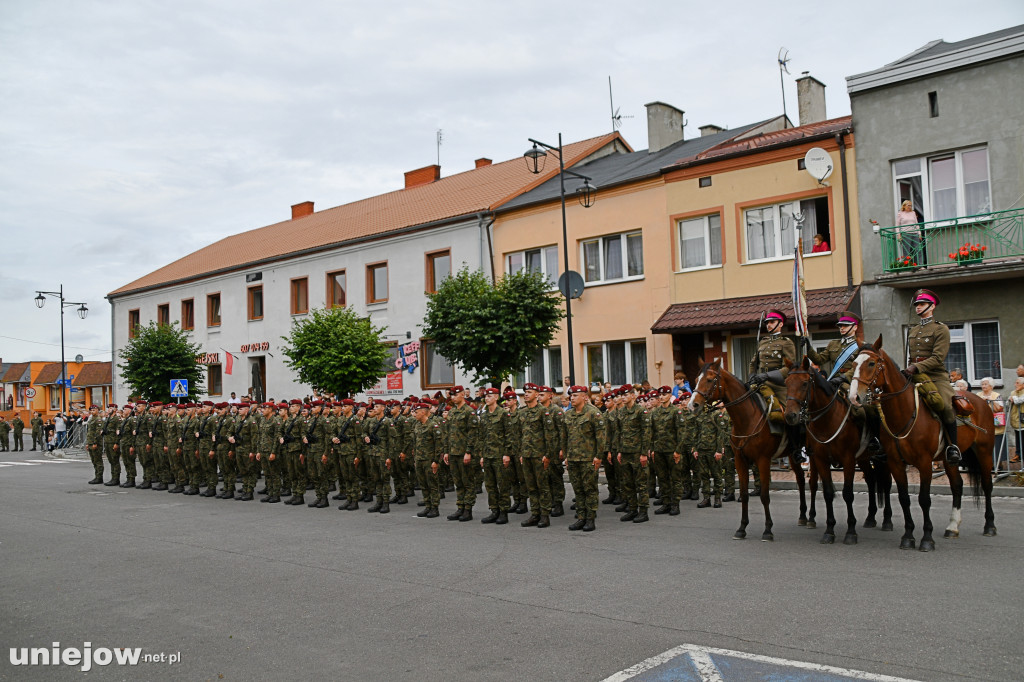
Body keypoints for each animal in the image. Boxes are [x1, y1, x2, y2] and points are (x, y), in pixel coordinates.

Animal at [688, 358, 806, 540]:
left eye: (709, 380)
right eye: (695, 380)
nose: (692, 405)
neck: (748, 419)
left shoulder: (763, 460)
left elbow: (764, 495)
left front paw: (767, 530)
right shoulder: (740, 460)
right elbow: (743, 494)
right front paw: (742, 528)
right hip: (792, 456)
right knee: (800, 480)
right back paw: (803, 516)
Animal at [786, 356, 892, 540]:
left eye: (805, 383)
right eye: (786, 382)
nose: (790, 415)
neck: (828, 420)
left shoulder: (848, 460)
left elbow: (847, 494)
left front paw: (850, 532)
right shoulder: (820, 459)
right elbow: (827, 492)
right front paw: (829, 531)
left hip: (884, 457)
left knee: (886, 482)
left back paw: (887, 520)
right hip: (864, 458)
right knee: (871, 480)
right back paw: (870, 518)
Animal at [847, 337, 999, 548]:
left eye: (871, 363)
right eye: (853, 364)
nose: (854, 397)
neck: (905, 412)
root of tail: (981, 401)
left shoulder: (925, 463)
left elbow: (924, 499)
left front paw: (927, 538)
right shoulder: (895, 462)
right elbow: (904, 498)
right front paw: (908, 536)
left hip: (984, 451)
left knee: (987, 485)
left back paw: (990, 525)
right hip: (949, 459)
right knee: (957, 485)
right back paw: (952, 527)